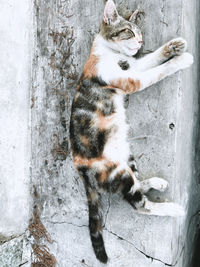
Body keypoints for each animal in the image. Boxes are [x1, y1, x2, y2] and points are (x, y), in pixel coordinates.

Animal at [69, 0, 194, 264]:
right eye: (128, 31)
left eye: (139, 32)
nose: (140, 41)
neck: (111, 53)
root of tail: (82, 172)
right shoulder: (131, 79)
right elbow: (155, 72)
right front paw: (181, 60)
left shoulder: (132, 66)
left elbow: (151, 59)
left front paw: (174, 46)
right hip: (117, 172)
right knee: (139, 205)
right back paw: (173, 208)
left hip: (127, 156)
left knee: (138, 184)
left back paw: (157, 182)